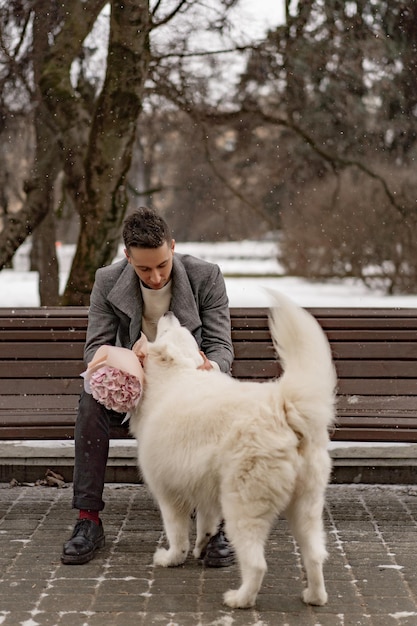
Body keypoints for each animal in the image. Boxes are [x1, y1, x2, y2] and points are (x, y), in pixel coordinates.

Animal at [129, 290, 334, 608]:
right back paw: (314, 596)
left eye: (166, 331)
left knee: (257, 564)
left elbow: (177, 534)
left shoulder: (169, 493)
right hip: (306, 506)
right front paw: (201, 547)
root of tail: (282, 406)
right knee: (314, 555)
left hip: (242, 505)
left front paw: (171, 558)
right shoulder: (204, 488)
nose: (169, 312)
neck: (177, 374)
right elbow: (206, 524)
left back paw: (240, 599)